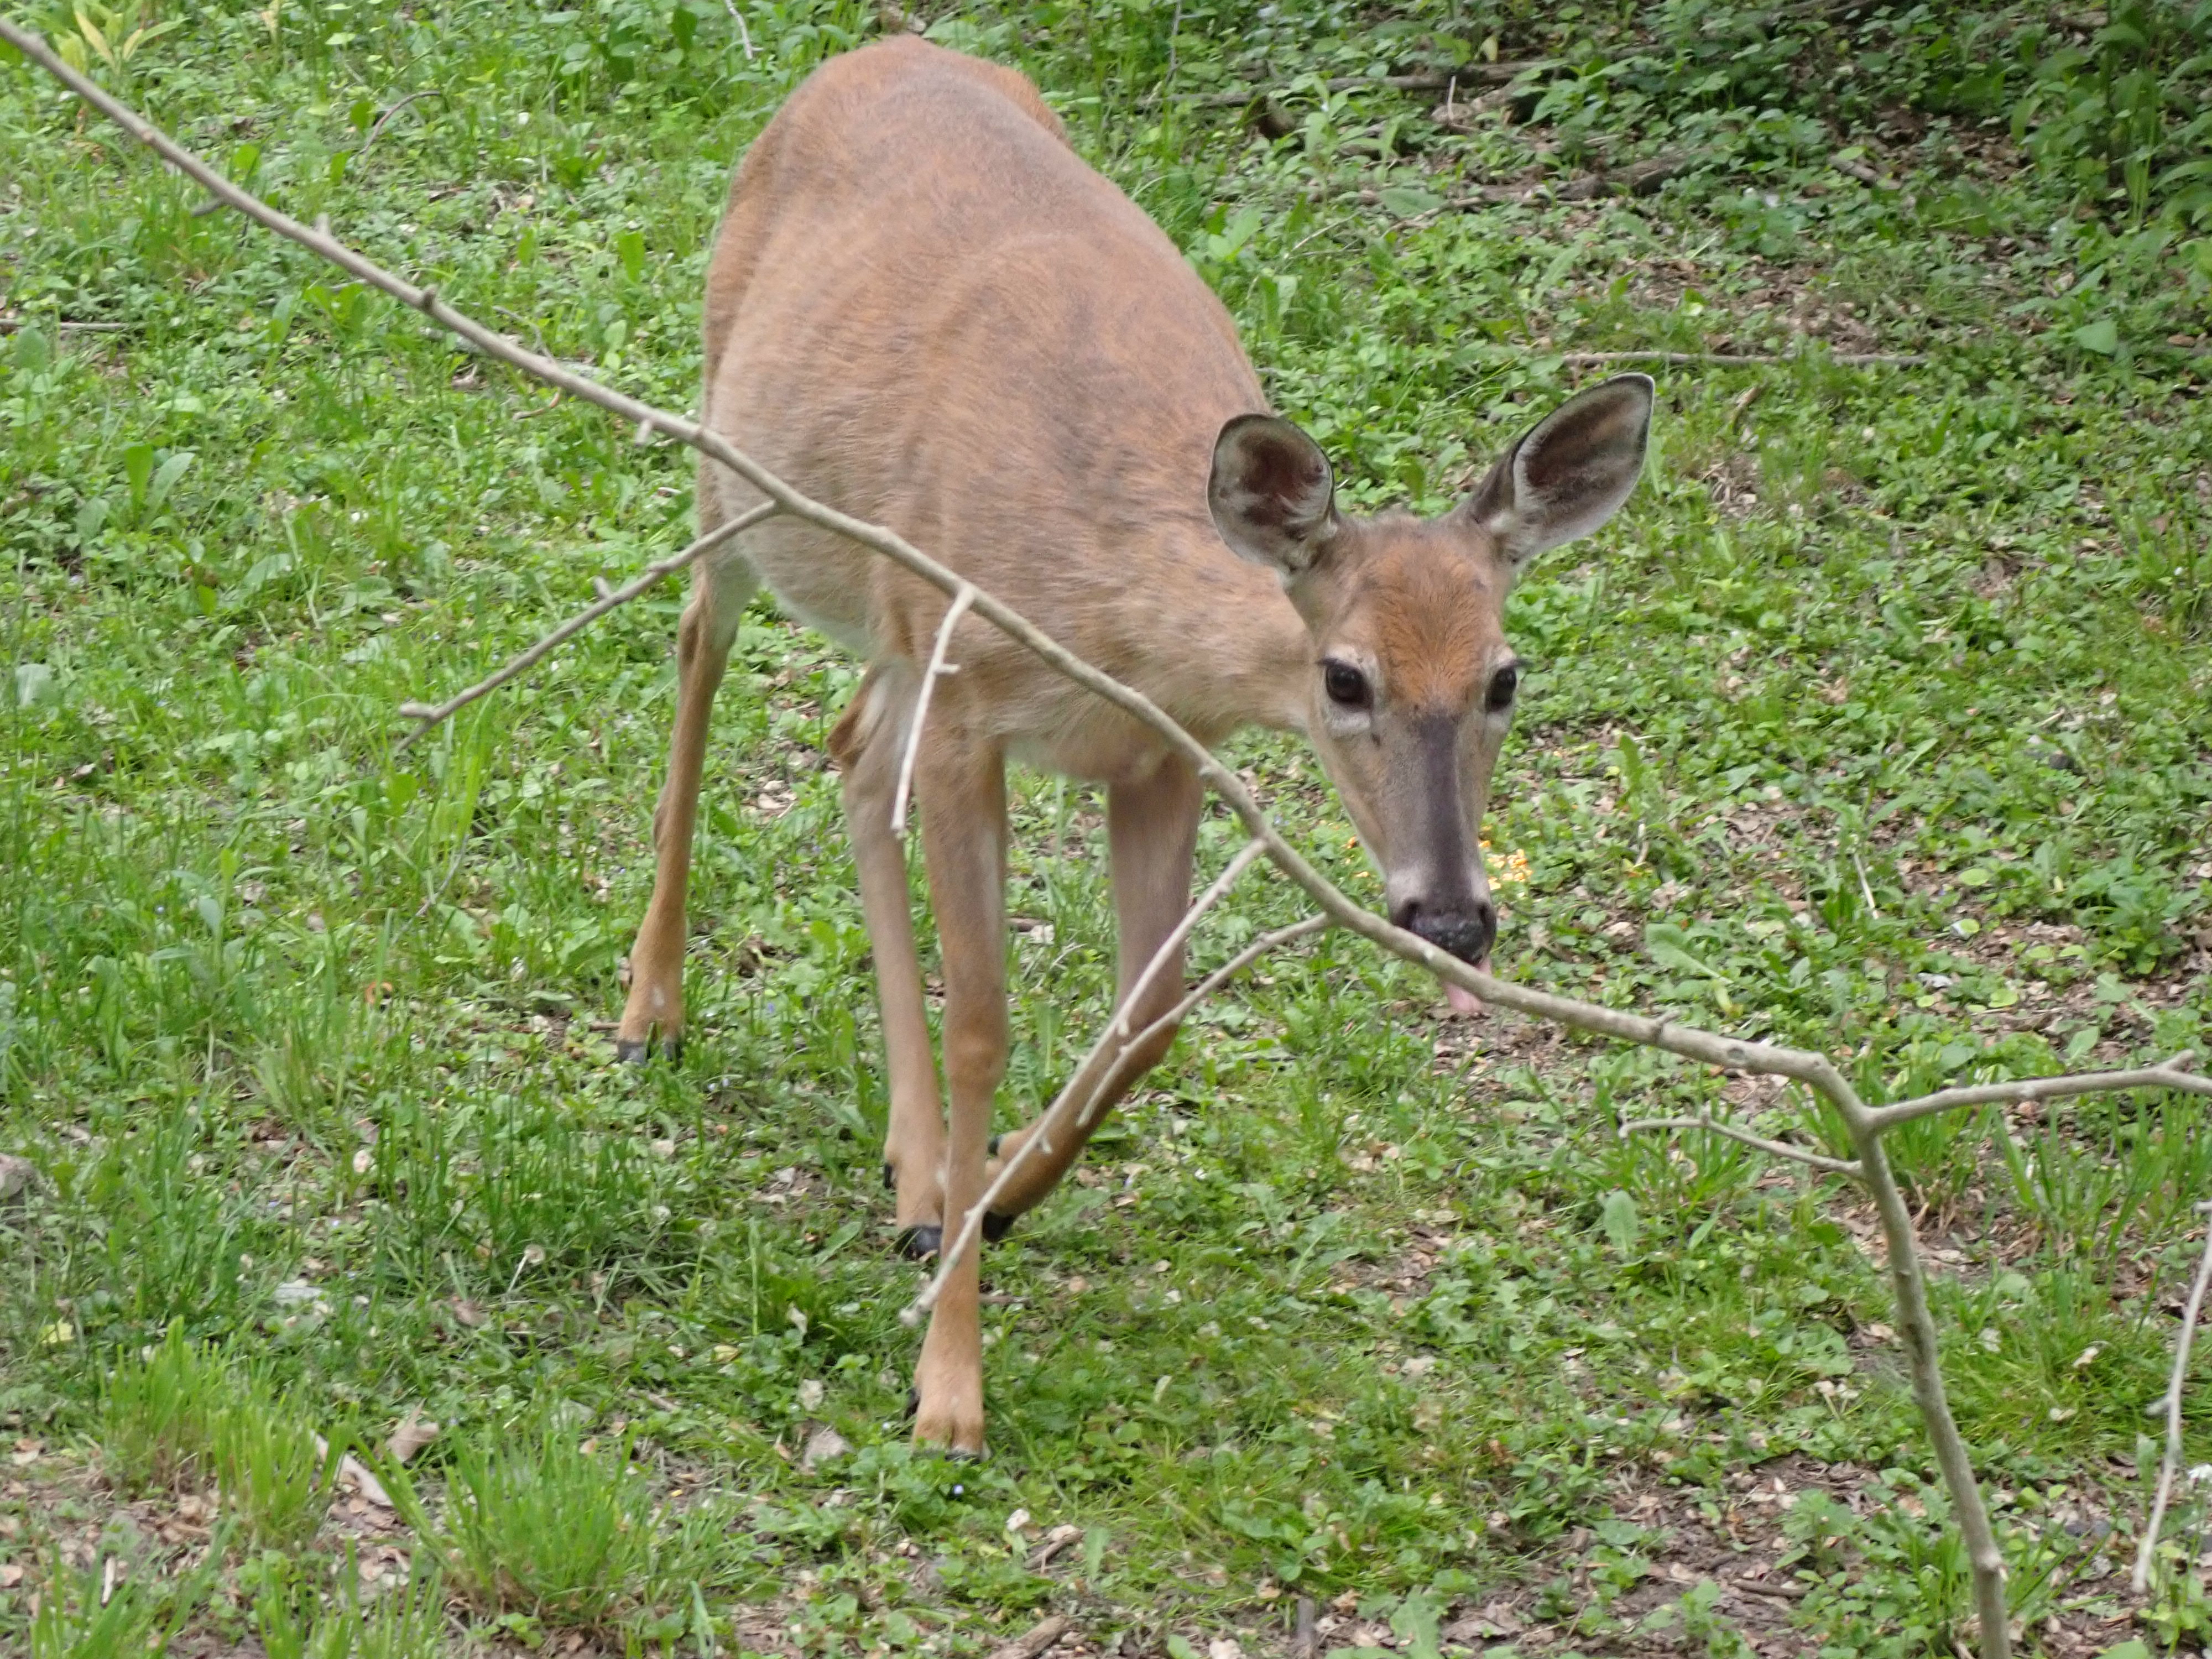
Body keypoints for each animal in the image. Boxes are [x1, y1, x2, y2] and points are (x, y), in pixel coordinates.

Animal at [613, 34, 1653, 1455]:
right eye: (1343, 677)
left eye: (1503, 675)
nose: (1450, 917)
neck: (1109, 613)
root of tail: (876, 46)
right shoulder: (972, 709)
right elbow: (984, 1018)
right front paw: (949, 1390)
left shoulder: (1156, 755)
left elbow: (1150, 1015)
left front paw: (992, 1194)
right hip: (736, 461)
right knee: (696, 652)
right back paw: (650, 1011)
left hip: (892, 620)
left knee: (850, 746)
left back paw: (913, 1173)